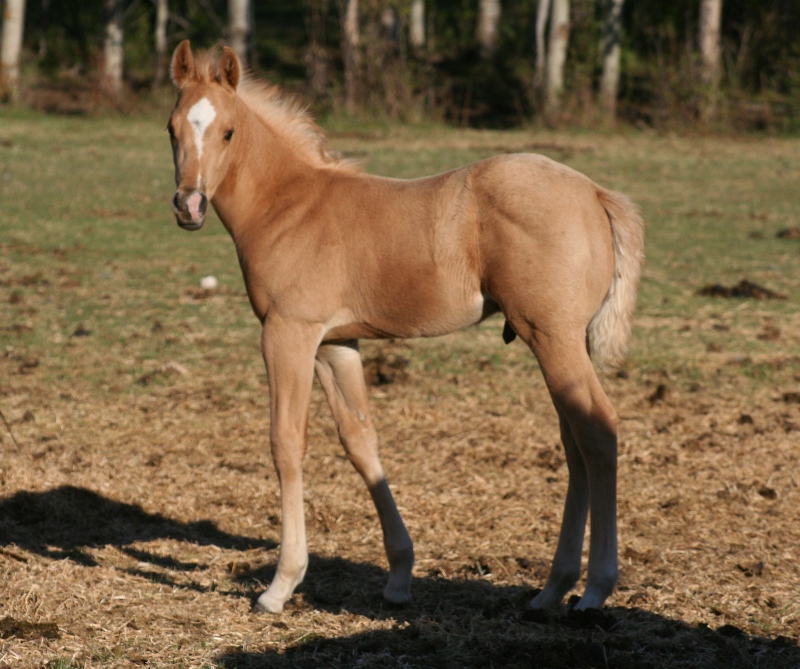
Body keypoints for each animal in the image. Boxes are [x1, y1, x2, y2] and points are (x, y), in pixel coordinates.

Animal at [166, 41, 644, 614]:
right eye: (171, 128)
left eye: (229, 131)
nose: (189, 205)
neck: (290, 204)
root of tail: (595, 193)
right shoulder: (335, 343)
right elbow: (360, 442)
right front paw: (398, 576)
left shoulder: (288, 333)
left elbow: (286, 442)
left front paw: (280, 585)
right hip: (565, 342)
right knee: (575, 442)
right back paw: (551, 589)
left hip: (551, 338)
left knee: (597, 431)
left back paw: (594, 590)